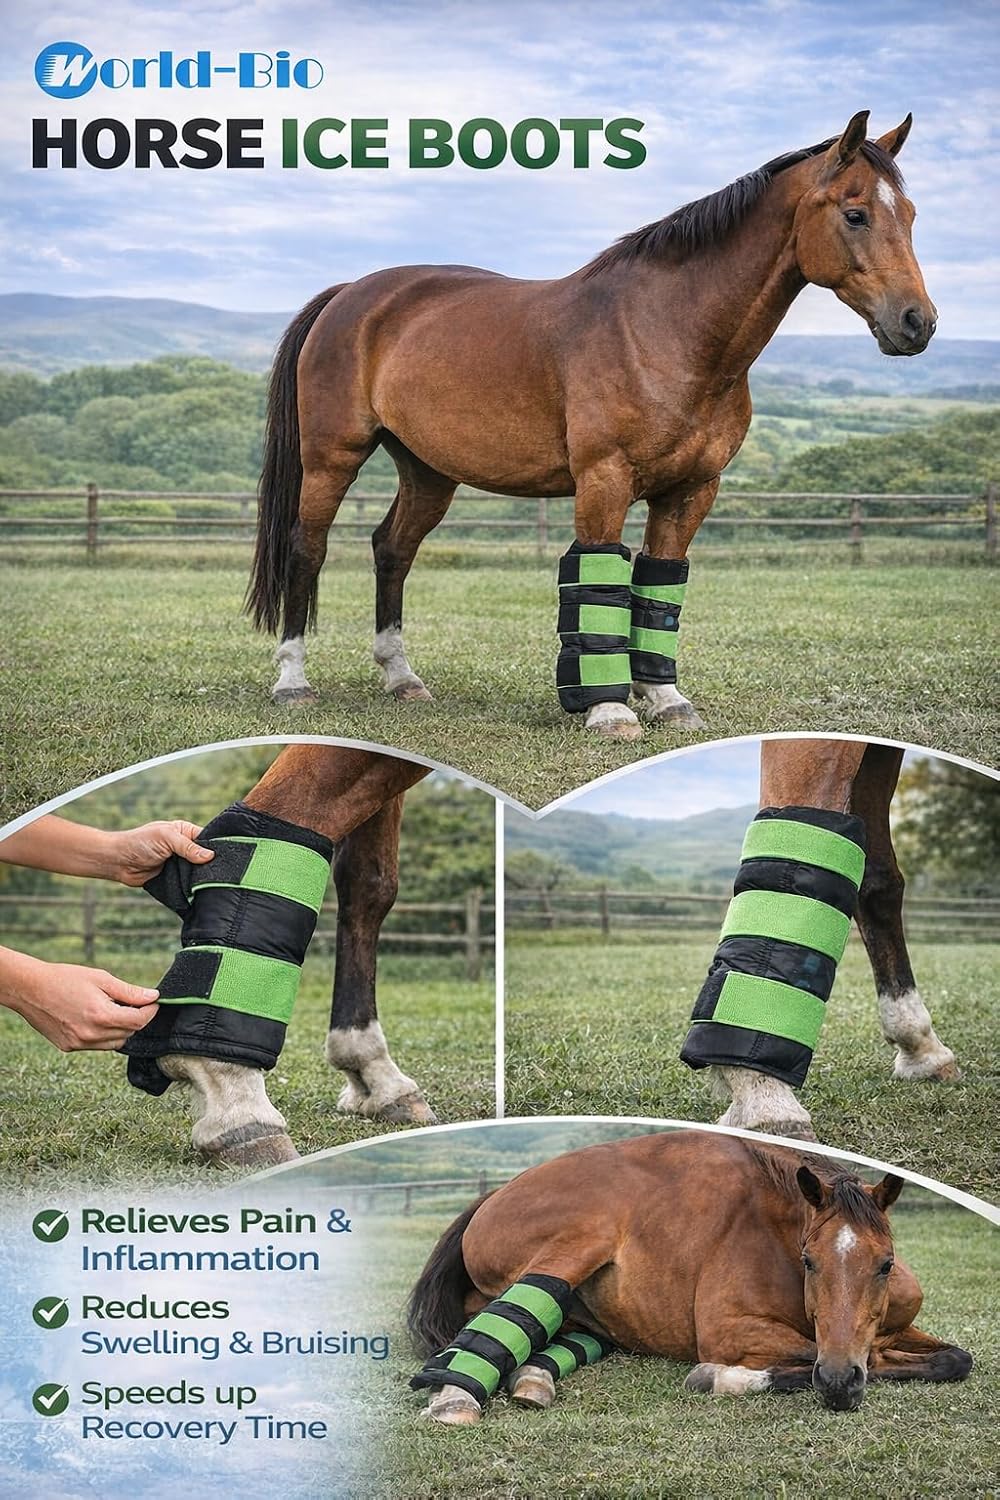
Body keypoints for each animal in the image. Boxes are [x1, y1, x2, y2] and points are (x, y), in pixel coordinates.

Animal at [246, 111, 935, 741]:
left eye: (910, 215)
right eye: (855, 215)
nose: (917, 322)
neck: (665, 329)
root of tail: (349, 294)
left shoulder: (691, 491)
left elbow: (658, 586)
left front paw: (666, 700)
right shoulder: (605, 479)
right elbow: (601, 579)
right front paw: (610, 710)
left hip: (428, 470)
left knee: (393, 549)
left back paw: (402, 677)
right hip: (333, 457)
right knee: (307, 548)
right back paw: (293, 681)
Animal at [408, 1130, 972, 1425]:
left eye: (886, 1264)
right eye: (809, 1260)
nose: (838, 1382)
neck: (779, 1229)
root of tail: (495, 1193)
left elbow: (954, 1359)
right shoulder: (730, 1332)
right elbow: (839, 1355)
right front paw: (720, 1377)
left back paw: (533, 1376)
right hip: (579, 1237)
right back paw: (456, 1393)